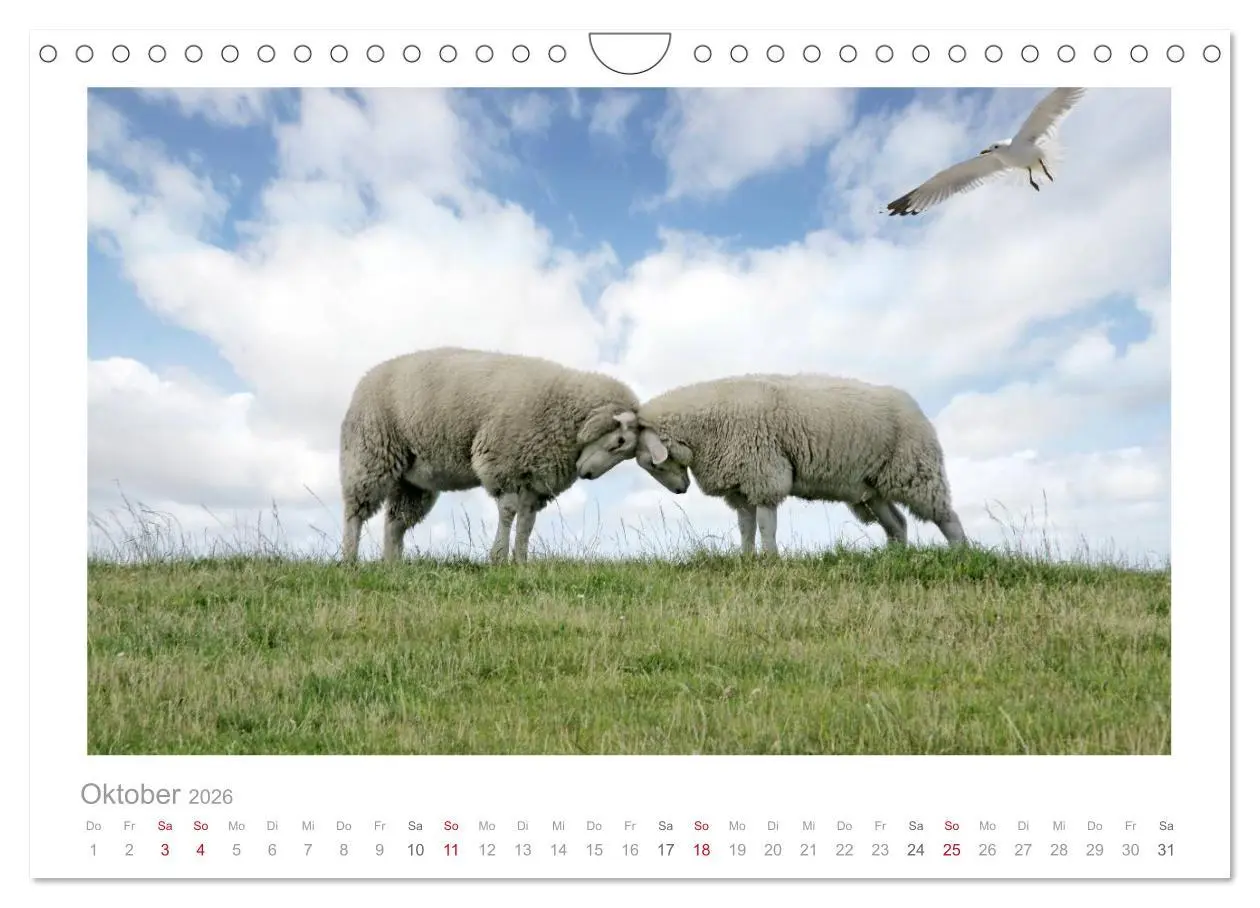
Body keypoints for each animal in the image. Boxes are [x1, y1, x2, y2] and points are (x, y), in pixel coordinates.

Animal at [339, 346, 642, 565]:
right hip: (370, 455)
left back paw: (392, 565)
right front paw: (497, 558)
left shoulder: (534, 482)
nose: (587, 474)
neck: (564, 413)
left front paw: (521, 562)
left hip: (412, 481)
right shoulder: (504, 463)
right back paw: (350, 560)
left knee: (395, 522)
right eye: (620, 441)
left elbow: (527, 523)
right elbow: (508, 513)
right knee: (355, 512)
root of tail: (366, 378)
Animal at [633, 373, 966, 555]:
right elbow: (746, 528)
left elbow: (765, 525)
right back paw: (894, 558)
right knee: (897, 524)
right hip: (871, 488)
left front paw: (770, 559)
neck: (704, 428)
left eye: (653, 462)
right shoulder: (741, 484)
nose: (680, 491)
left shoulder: (764, 473)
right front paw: (745, 558)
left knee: (946, 516)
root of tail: (912, 403)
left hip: (916, 470)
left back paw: (962, 554)